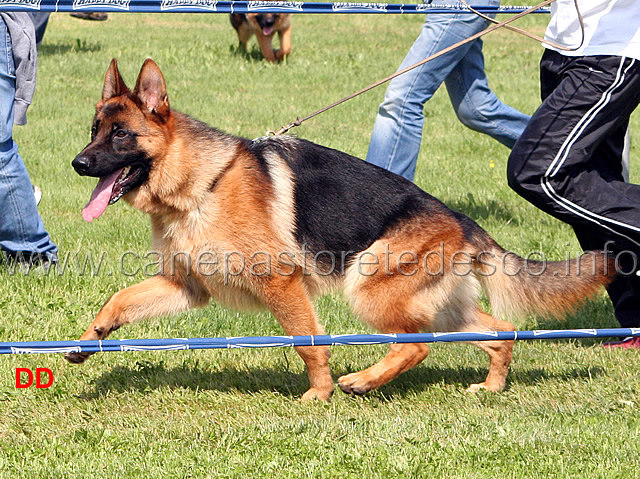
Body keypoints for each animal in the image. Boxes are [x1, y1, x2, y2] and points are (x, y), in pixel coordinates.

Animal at [66, 60, 616, 402]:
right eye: (93, 130)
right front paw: (89, 340)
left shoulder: (281, 284)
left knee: (416, 346)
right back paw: (492, 387)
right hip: (438, 308)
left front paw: (319, 393)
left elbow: (308, 342)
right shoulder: (186, 286)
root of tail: (463, 221)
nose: (77, 164)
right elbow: (118, 299)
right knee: (499, 331)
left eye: (121, 135)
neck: (202, 182)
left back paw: (362, 383)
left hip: (369, 289)